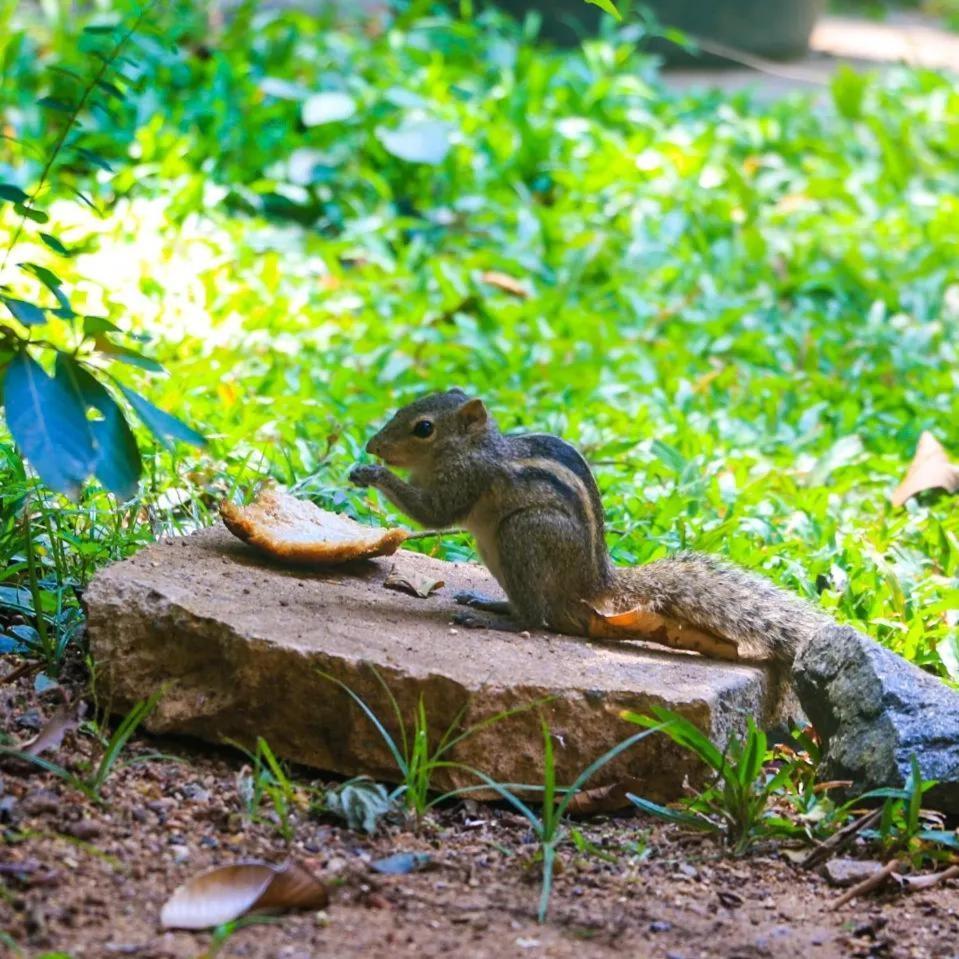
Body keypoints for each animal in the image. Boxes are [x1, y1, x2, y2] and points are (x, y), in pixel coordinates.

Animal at [350, 386, 832, 664]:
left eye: (423, 428)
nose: (373, 445)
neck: (470, 448)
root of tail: (595, 582)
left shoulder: (465, 480)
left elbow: (432, 514)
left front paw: (372, 474)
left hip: (523, 534)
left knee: (538, 620)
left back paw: (494, 621)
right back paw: (492, 603)